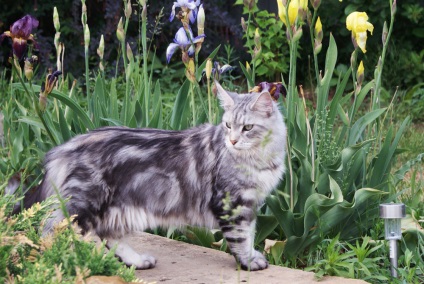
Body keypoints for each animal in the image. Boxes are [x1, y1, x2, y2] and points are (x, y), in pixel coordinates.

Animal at [14, 80, 286, 270]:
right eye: (228, 125)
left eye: (247, 128)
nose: (232, 141)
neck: (259, 158)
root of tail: (64, 147)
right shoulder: (233, 203)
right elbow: (241, 237)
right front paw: (249, 262)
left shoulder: (251, 203)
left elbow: (250, 233)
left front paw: (252, 256)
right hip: (84, 206)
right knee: (50, 234)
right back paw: (57, 264)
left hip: (116, 210)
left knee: (108, 236)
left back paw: (137, 261)